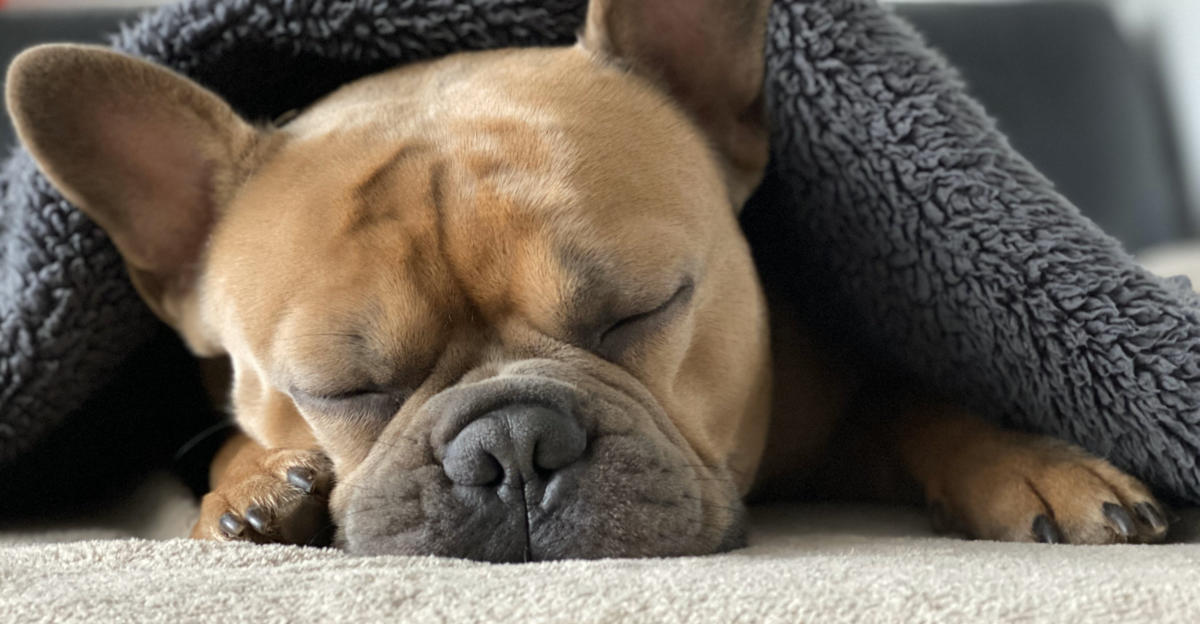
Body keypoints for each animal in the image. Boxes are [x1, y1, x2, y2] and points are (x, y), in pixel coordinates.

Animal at [4, 0, 1166, 561]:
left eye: (643, 309)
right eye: (339, 387)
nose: (512, 445)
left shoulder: (836, 400)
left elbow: (918, 401)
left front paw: (1032, 465)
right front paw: (254, 487)